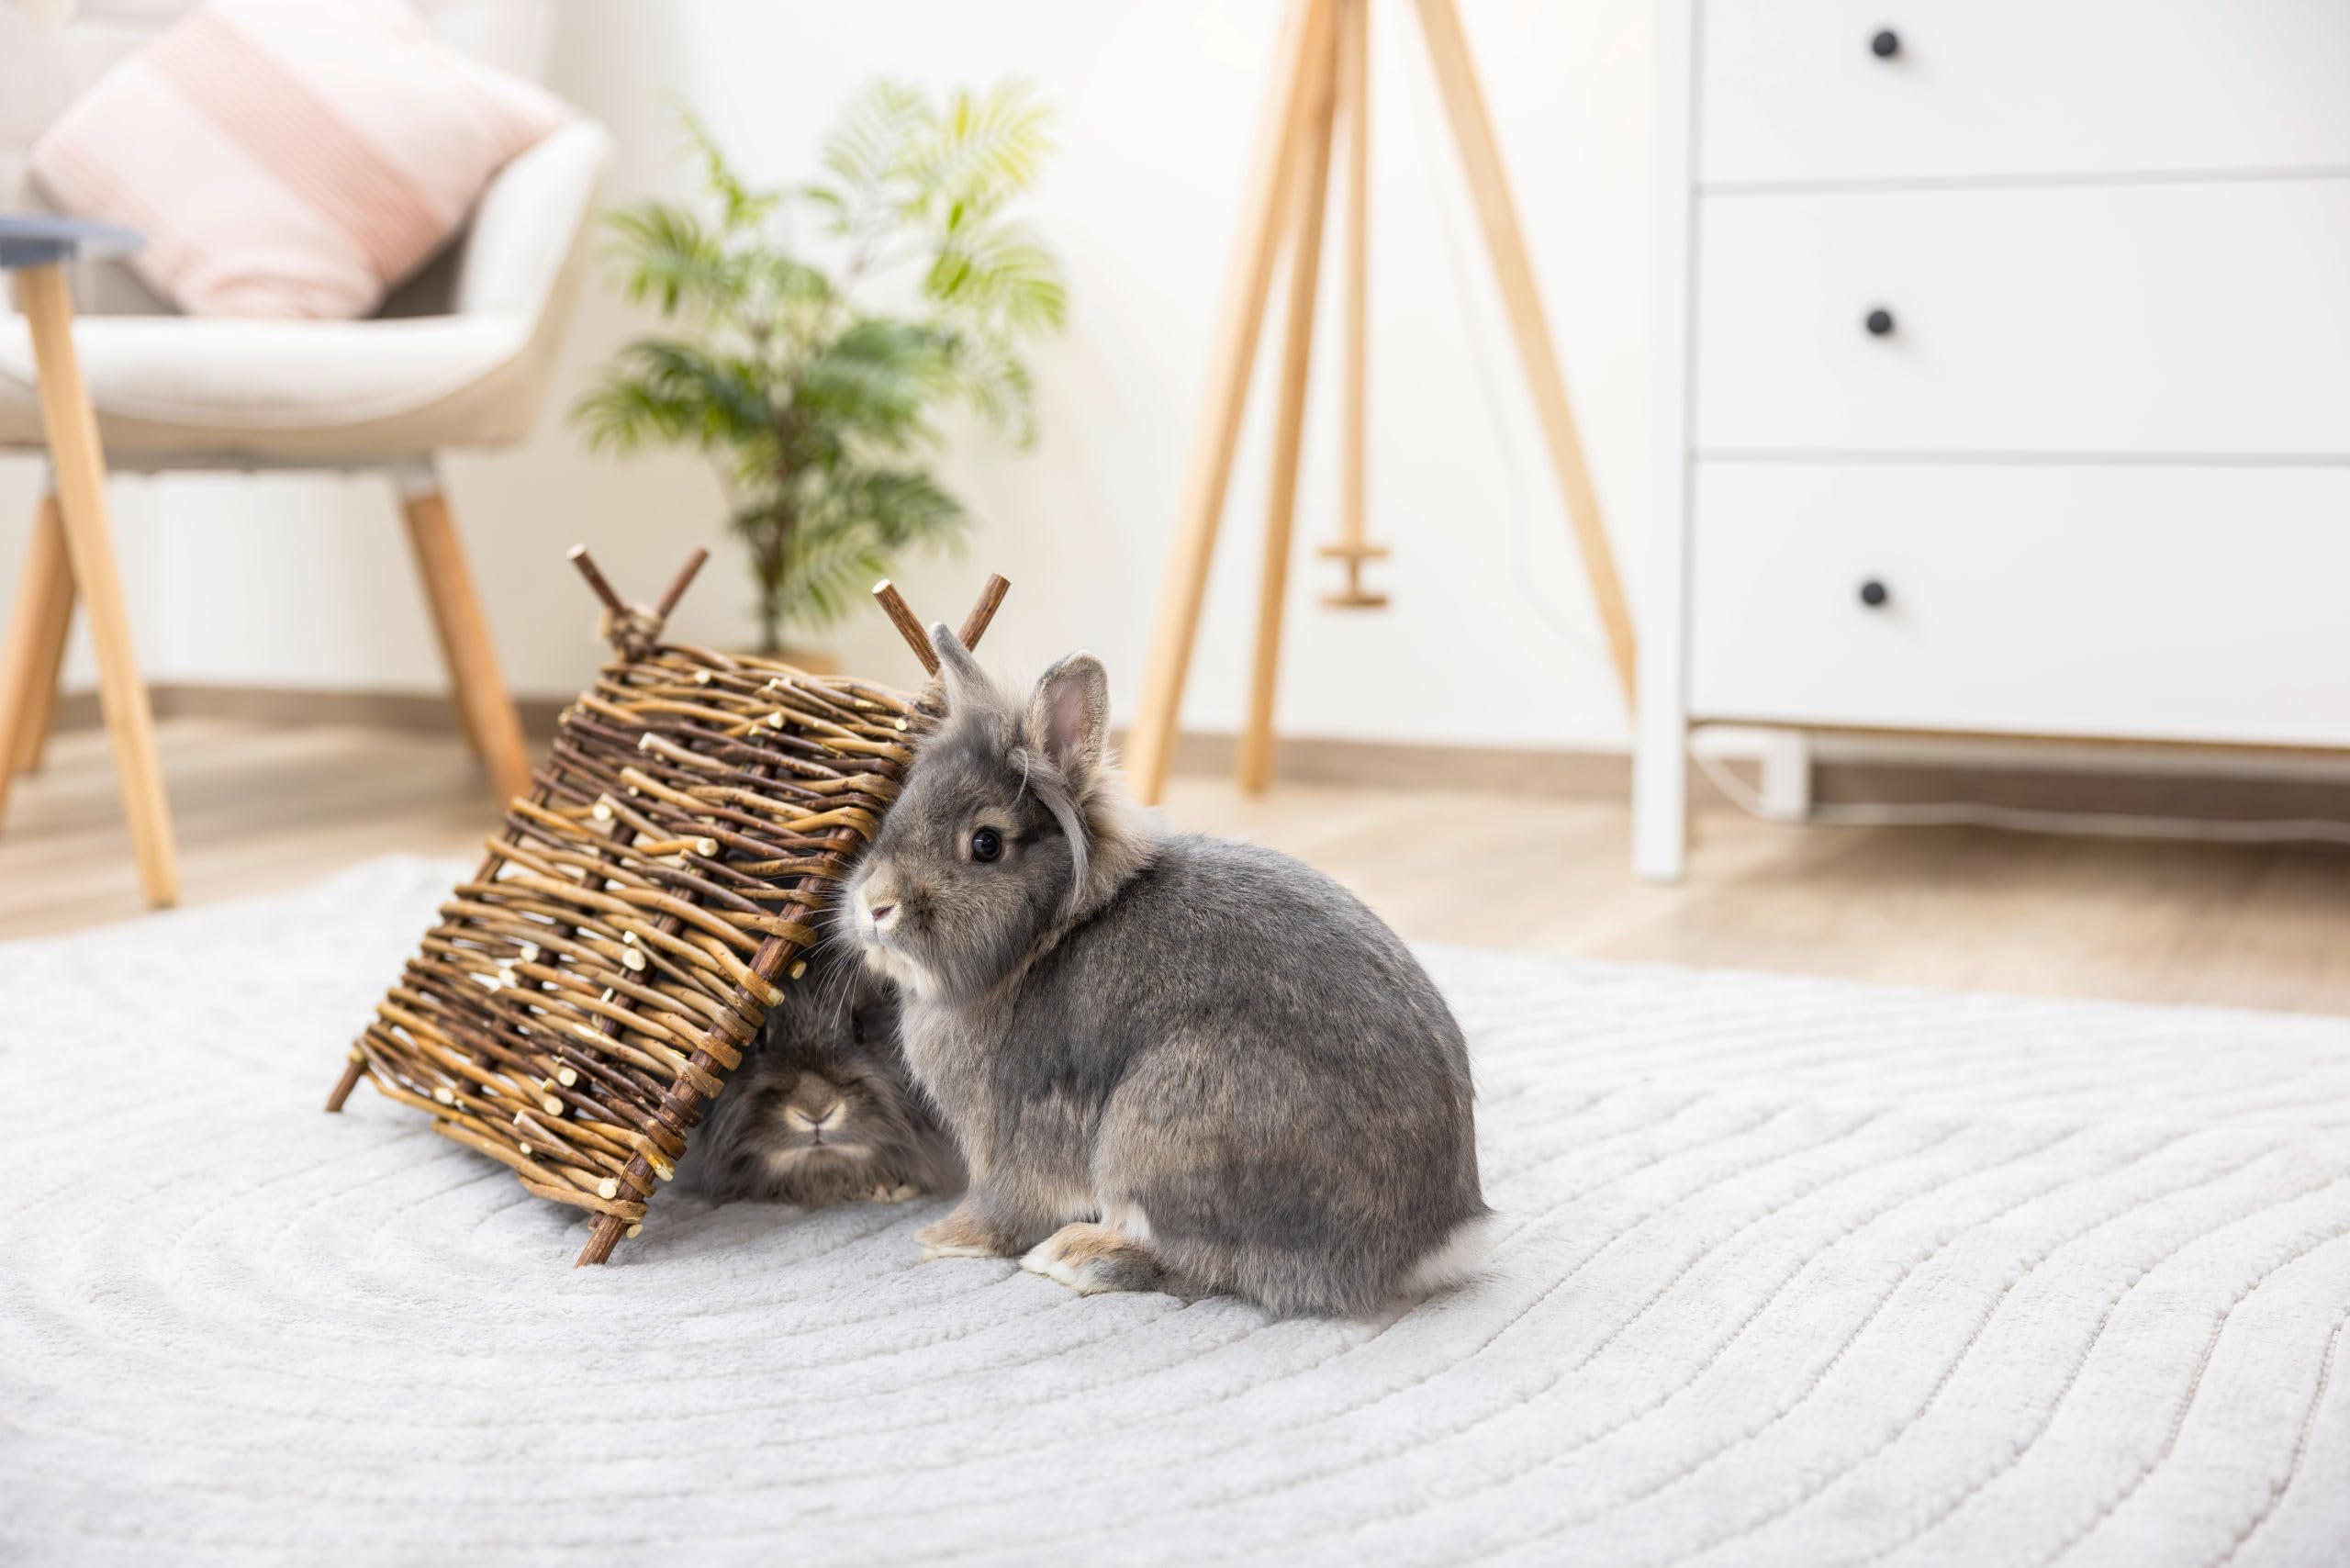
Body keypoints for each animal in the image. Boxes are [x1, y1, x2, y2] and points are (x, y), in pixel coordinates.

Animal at [839, 626, 1489, 1317]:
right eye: (898, 809)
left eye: (985, 843)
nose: (874, 906)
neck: (1037, 942)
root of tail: (1433, 1242)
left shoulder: (1016, 1133)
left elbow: (1006, 1206)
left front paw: (943, 1237)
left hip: (1161, 1124)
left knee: (1201, 1262)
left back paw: (1079, 1256)